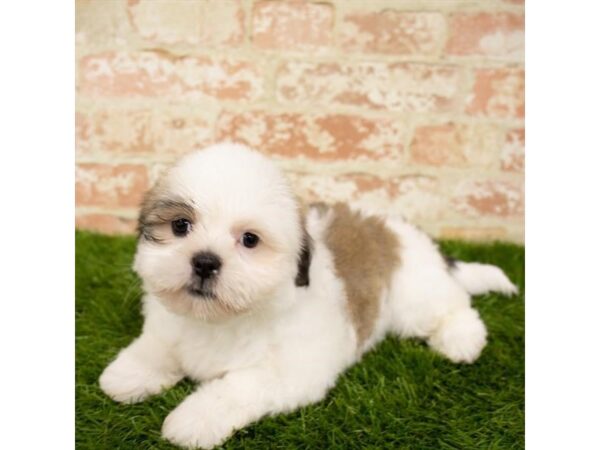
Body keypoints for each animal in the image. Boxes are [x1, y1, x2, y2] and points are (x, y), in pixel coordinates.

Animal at [98, 142, 516, 448]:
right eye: (181, 225)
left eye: (249, 240)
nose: (204, 262)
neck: (223, 320)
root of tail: (403, 232)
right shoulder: (171, 327)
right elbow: (158, 345)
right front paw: (130, 372)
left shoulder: (293, 370)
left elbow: (237, 387)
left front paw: (194, 419)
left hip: (415, 297)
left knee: (456, 308)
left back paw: (462, 341)